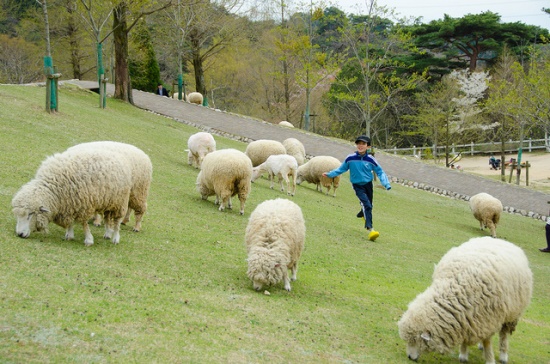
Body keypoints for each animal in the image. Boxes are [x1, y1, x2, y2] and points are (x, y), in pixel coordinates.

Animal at [402, 236, 536, 364]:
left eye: (415, 340)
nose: (409, 357)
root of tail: (500, 240)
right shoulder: (467, 317)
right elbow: (468, 336)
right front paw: (463, 354)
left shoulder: (488, 316)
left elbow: (488, 342)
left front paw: (489, 359)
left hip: (512, 314)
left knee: (504, 334)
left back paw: (503, 355)